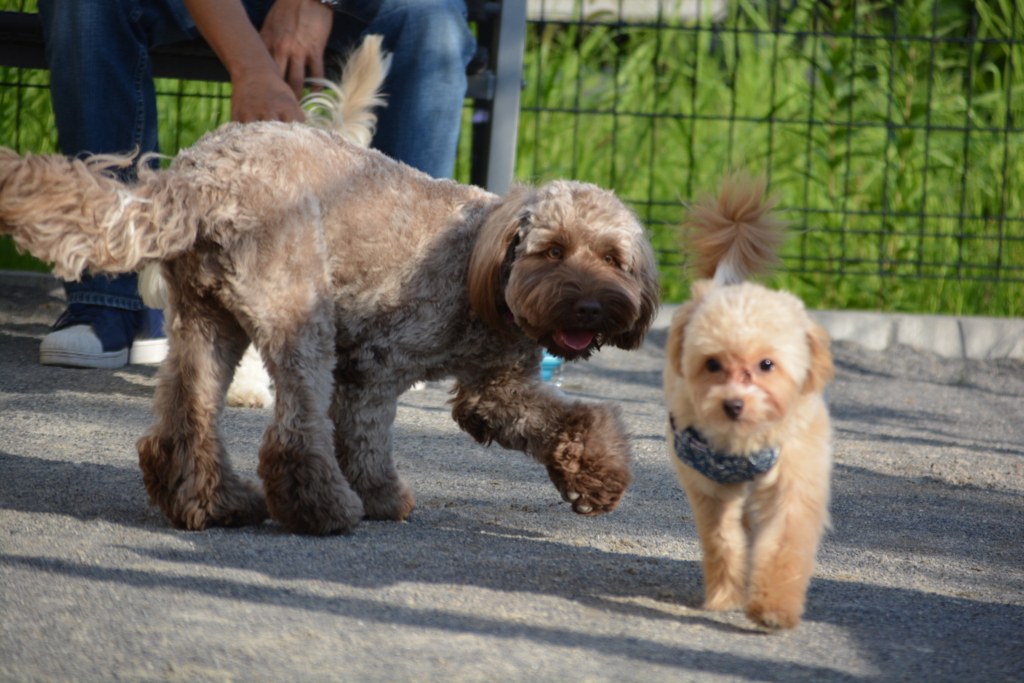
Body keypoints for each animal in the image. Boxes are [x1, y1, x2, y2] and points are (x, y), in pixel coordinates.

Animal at [0, 125, 655, 536]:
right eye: (552, 251)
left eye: (613, 259)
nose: (589, 308)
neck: (484, 268)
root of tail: (197, 180)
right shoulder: (376, 365)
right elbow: (365, 440)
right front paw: (380, 498)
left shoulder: (497, 389)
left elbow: (570, 418)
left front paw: (595, 479)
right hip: (298, 312)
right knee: (293, 435)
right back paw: (324, 510)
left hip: (207, 320)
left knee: (186, 419)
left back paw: (212, 504)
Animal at [663, 176, 831, 630]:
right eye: (712, 364)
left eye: (767, 364)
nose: (733, 405)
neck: (743, 443)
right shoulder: (709, 486)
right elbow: (723, 540)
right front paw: (725, 595)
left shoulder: (792, 482)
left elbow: (784, 544)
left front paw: (772, 607)